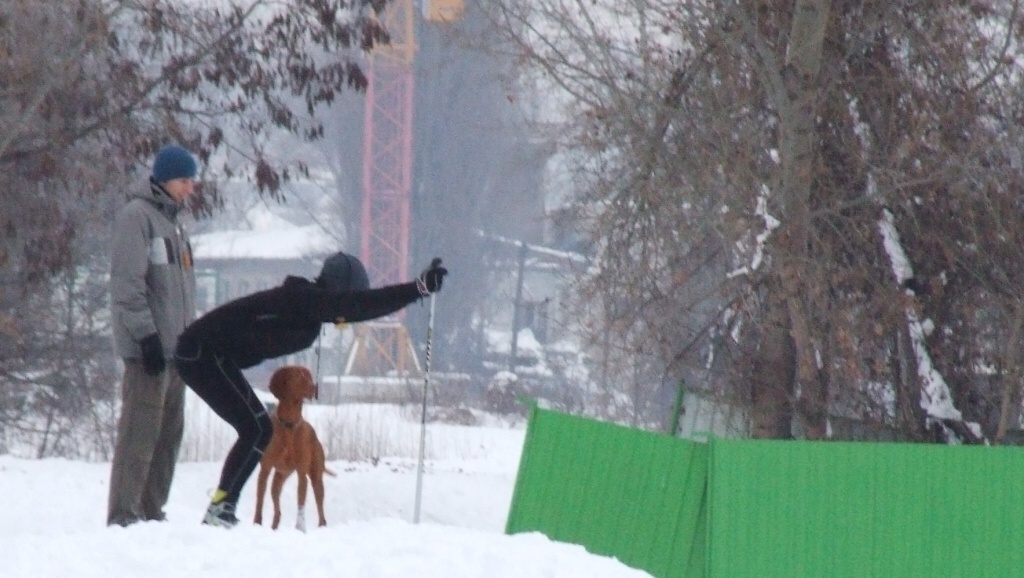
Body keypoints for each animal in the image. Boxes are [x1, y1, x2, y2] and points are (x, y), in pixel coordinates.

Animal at [253, 364, 333, 532]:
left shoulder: (302, 473)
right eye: (296, 376)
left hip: (316, 478)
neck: (289, 425)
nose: (313, 387)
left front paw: (300, 529)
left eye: (308, 376)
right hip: (279, 477)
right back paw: (274, 527)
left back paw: (322, 527)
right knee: (277, 506)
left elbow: (301, 502)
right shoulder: (265, 469)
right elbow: (259, 500)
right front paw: (256, 523)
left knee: (320, 509)